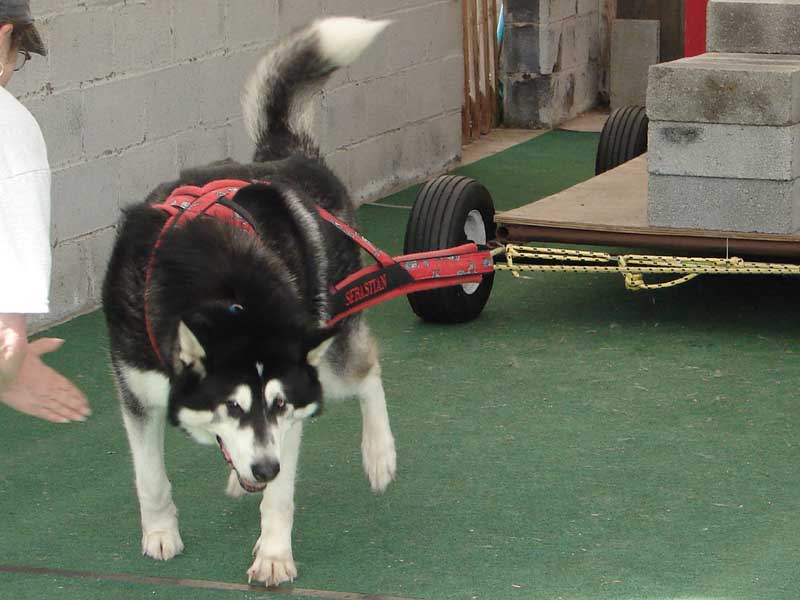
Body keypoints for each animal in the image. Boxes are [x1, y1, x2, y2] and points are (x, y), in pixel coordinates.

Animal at [103, 17, 396, 584]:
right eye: (232, 405)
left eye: (278, 403)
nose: (265, 466)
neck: (227, 295)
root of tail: (288, 153)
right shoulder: (136, 392)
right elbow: (149, 477)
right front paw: (160, 532)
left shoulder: (294, 406)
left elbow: (278, 497)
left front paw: (274, 554)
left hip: (334, 348)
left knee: (368, 368)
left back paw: (379, 453)